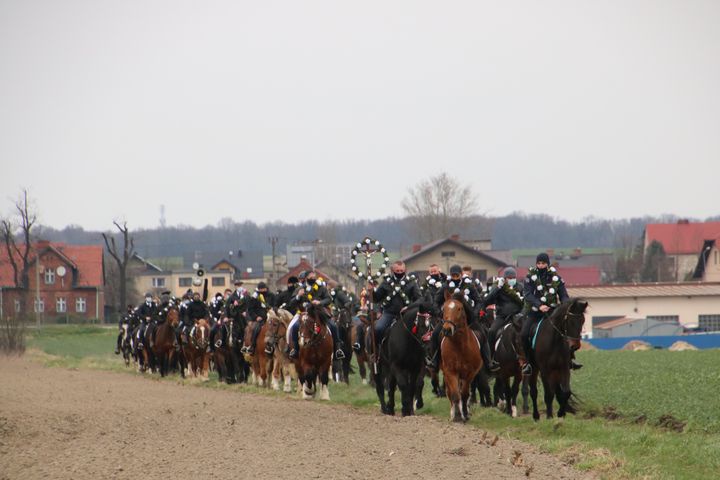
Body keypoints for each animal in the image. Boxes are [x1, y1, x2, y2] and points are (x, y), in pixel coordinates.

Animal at [442, 290, 480, 422]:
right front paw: (458, 416)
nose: (447, 330)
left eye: (459, 308)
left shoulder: (470, 373)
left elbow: (464, 394)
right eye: (444, 308)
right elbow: (454, 394)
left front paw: (465, 414)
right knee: (451, 392)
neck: (459, 347)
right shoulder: (450, 371)